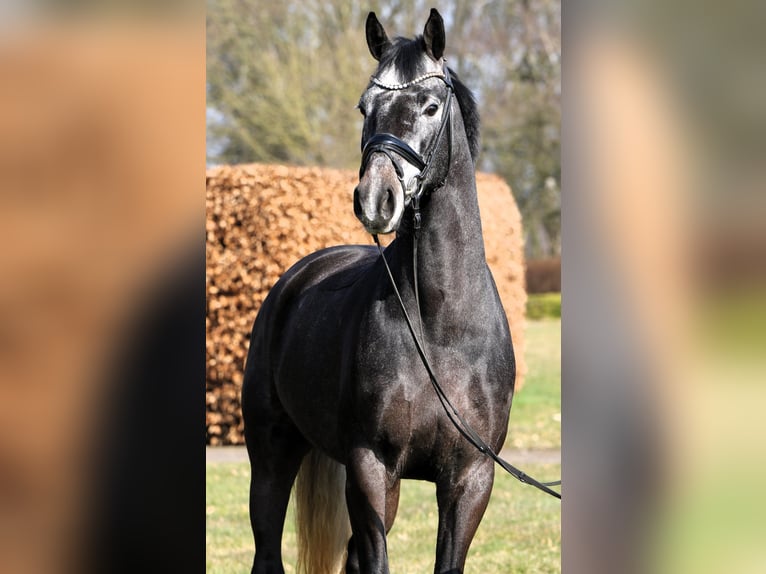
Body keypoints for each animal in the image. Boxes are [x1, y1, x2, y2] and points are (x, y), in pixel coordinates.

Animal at [242, 10, 516, 574]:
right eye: (364, 107)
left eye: (430, 106)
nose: (376, 198)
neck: (441, 328)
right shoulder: (371, 467)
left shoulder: (471, 479)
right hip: (272, 455)